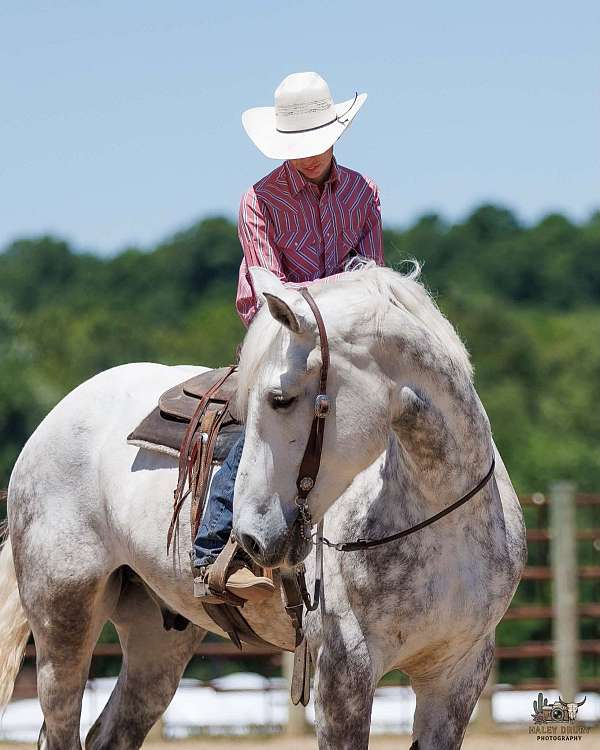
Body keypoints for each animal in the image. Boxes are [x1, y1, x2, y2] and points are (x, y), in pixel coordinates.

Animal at [0, 262, 526, 749]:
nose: (251, 539)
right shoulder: (344, 673)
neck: (438, 517)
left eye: (280, 398)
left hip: (158, 638)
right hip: (63, 615)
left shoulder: (459, 675)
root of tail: (57, 415)